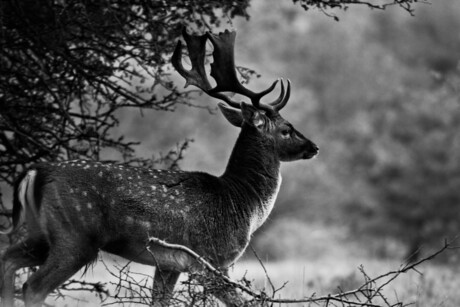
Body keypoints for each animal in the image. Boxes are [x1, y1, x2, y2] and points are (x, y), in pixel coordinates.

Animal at [0, 28, 318, 307]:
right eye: (286, 129)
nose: (314, 147)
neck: (241, 202)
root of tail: (36, 172)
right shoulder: (208, 260)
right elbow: (242, 302)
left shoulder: (170, 263)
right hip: (75, 235)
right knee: (33, 286)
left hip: (40, 232)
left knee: (8, 258)